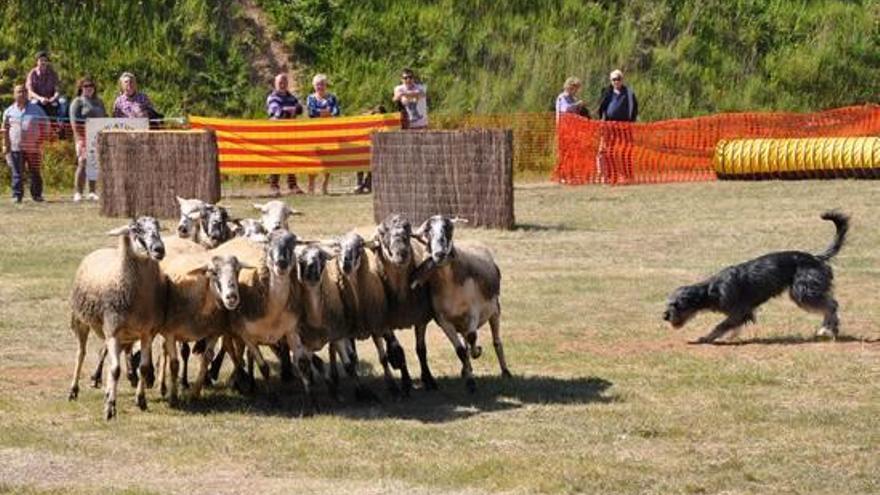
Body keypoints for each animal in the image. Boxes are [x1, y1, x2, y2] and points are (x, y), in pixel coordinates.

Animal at [68, 216, 168, 418]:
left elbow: (143, 368)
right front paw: (110, 408)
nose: (159, 249)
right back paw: (73, 390)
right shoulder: (113, 332)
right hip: (80, 320)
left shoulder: (146, 333)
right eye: (136, 229)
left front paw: (141, 400)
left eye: (158, 228)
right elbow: (115, 370)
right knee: (80, 354)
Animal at [410, 215, 512, 394]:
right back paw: (466, 369)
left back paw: (505, 372)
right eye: (428, 230)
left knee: (496, 341)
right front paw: (470, 381)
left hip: (495, 310)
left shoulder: (473, 312)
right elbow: (460, 351)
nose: (439, 254)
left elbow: (472, 338)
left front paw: (477, 352)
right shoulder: (444, 321)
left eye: (449, 228)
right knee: (465, 341)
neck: (450, 286)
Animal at [664, 211, 848, 342]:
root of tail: (816, 258)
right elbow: (731, 326)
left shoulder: (740, 310)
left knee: (831, 305)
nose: (664, 317)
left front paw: (706, 338)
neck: (711, 290)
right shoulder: (742, 313)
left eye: (676, 305)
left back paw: (827, 329)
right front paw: (731, 336)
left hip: (803, 292)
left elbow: (721, 326)